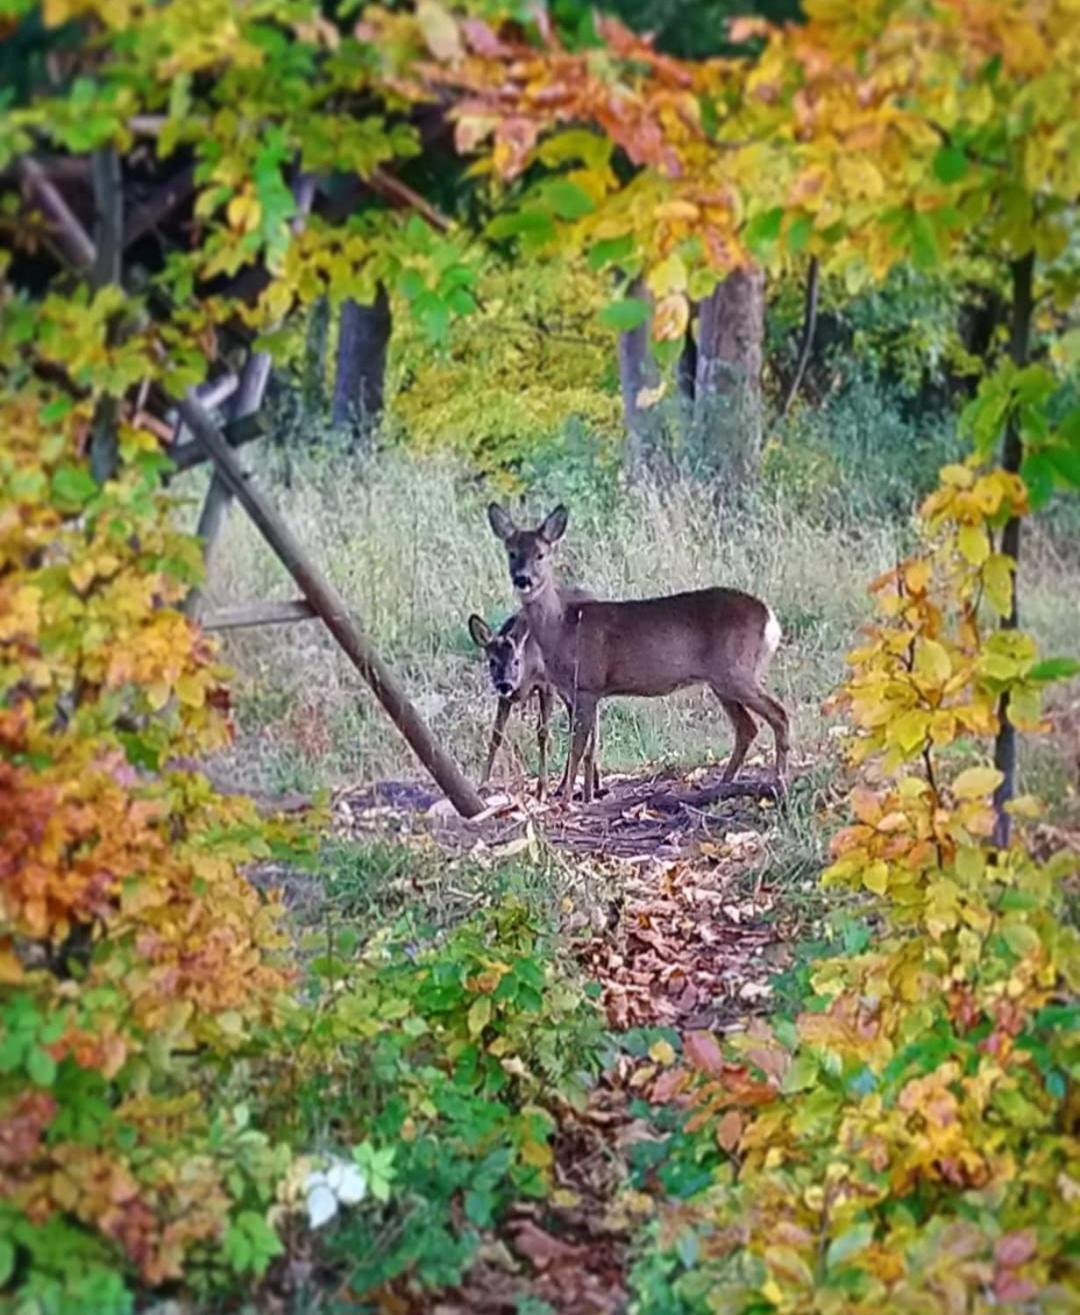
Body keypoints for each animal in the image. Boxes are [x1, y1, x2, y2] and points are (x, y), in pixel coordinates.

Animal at [465, 602, 602, 799]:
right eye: (492, 662)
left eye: (516, 661)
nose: (505, 684)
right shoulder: (505, 697)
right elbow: (496, 733)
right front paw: (483, 785)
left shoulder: (547, 685)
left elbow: (542, 732)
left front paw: (541, 789)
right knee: (576, 719)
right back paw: (574, 784)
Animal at [484, 502, 789, 799]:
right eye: (511, 553)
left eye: (541, 554)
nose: (523, 579)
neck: (563, 626)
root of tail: (770, 618)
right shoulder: (574, 691)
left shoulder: (588, 685)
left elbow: (577, 747)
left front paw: (567, 800)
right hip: (721, 681)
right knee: (747, 727)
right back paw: (723, 785)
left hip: (735, 670)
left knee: (779, 714)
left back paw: (778, 781)